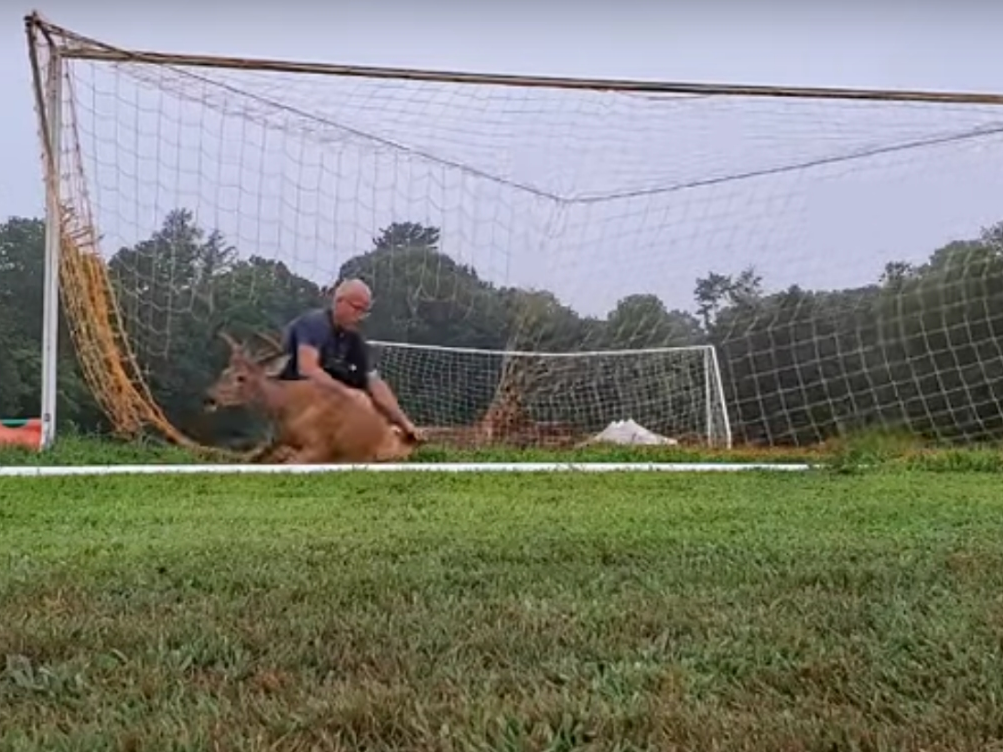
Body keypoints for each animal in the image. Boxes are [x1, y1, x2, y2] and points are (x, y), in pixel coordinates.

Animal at [204, 331, 418, 464]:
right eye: (224, 371)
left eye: (241, 377)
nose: (209, 398)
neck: (287, 407)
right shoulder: (275, 443)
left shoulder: (319, 446)